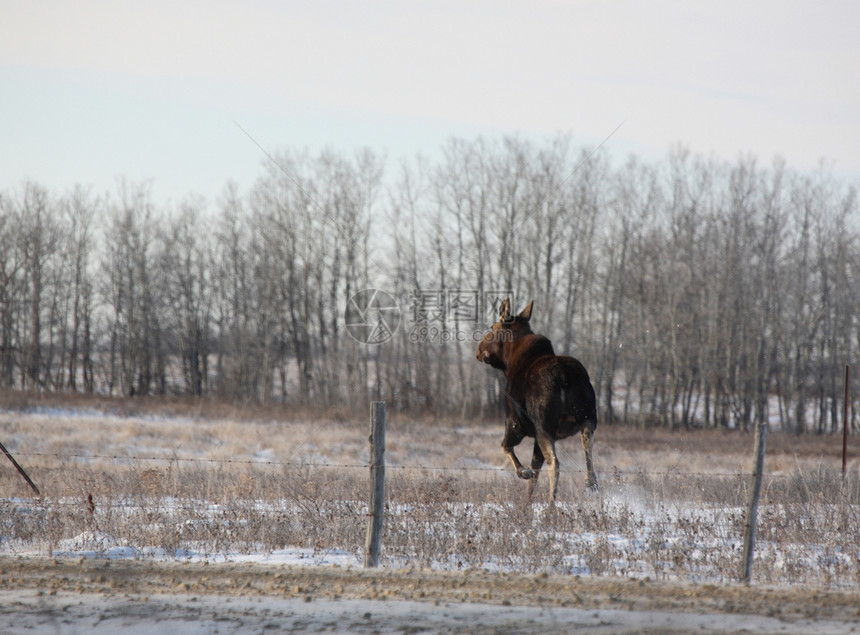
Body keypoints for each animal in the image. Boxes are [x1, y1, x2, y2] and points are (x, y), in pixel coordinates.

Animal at [478, 300, 596, 506]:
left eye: (492, 327)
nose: (478, 351)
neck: (508, 362)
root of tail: (563, 376)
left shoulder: (515, 423)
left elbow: (506, 448)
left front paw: (523, 473)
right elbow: (535, 469)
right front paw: (527, 502)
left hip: (544, 426)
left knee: (555, 462)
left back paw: (551, 505)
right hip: (588, 417)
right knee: (587, 444)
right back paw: (591, 482)